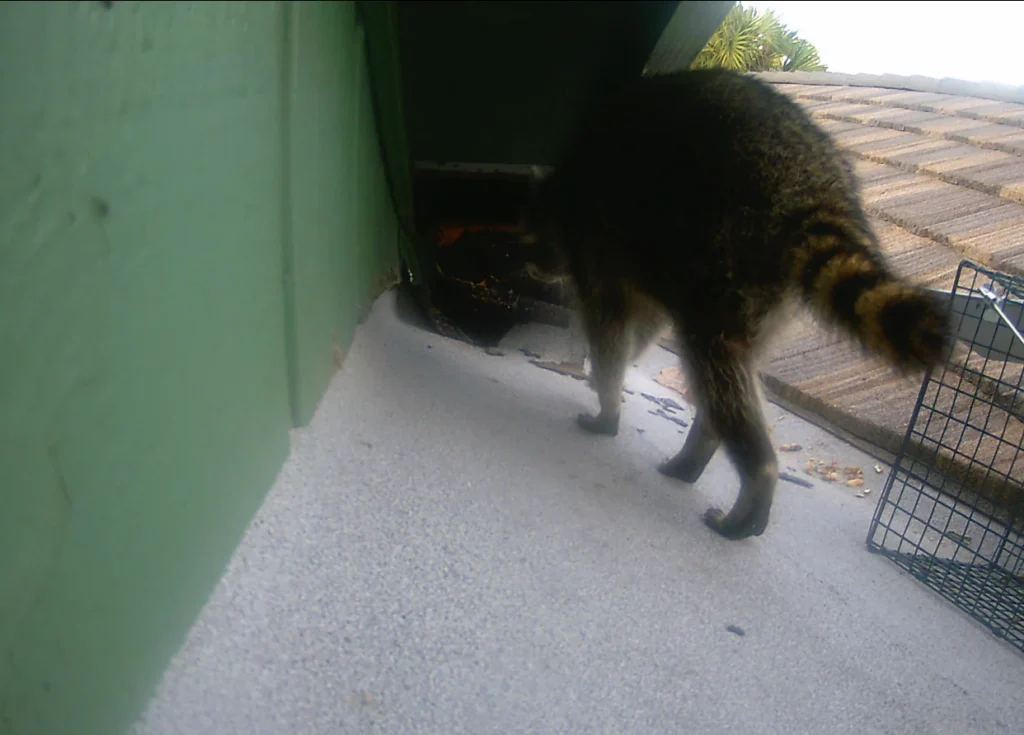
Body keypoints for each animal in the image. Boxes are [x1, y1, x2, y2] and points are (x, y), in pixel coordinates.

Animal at [521, 68, 952, 541]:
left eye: (530, 239)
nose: (530, 267)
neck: (565, 187)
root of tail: (815, 182)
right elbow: (645, 325)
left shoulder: (595, 241)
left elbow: (609, 328)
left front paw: (607, 398)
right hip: (766, 291)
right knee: (729, 367)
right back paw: (703, 444)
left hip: (731, 250)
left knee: (713, 357)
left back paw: (757, 472)